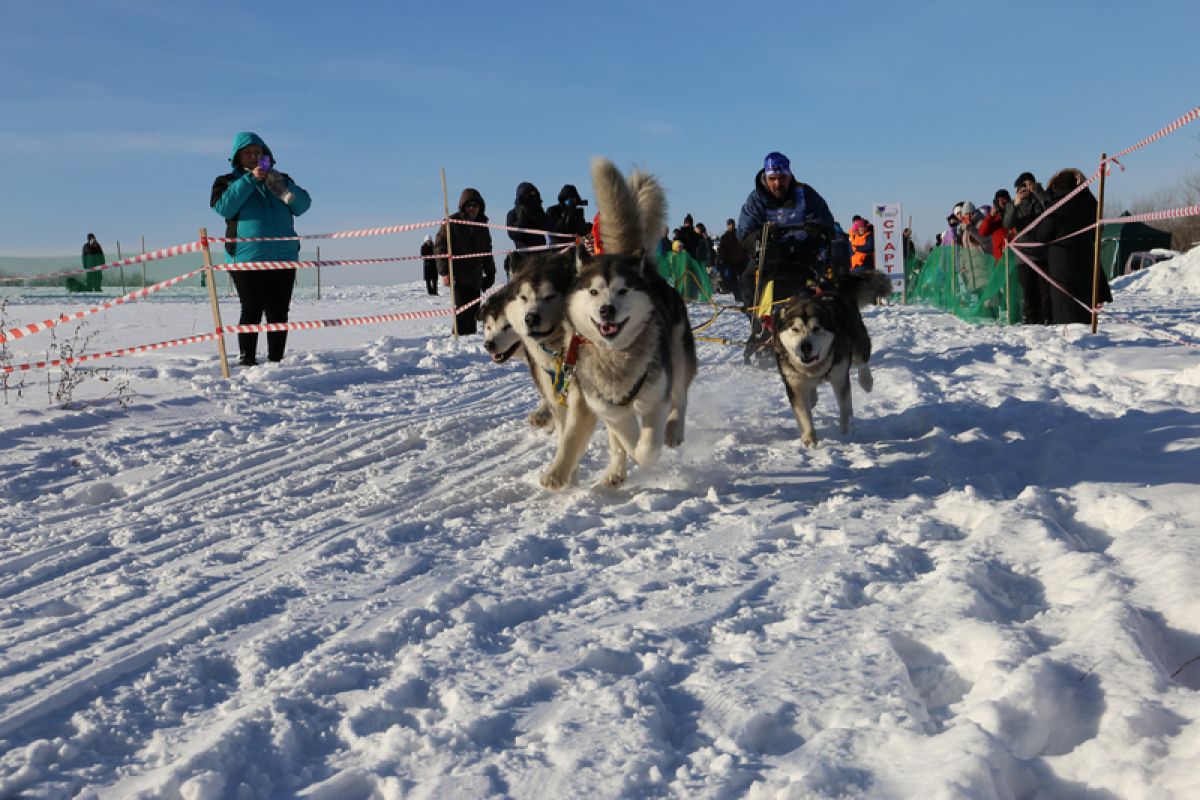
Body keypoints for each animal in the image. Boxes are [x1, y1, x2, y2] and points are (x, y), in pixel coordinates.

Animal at [542, 158, 700, 491]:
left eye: (623, 290)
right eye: (593, 291)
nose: (606, 310)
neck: (616, 358)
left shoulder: (655, 400)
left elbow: (647, 446)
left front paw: (649, 446)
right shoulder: (608, 409)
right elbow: (625, 437)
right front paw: (625, 451)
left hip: (677, 355)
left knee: (680, 395)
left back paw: (674, 430)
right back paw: (615, 470)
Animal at [768, 271, 892, 448]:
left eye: (816, 328)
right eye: (795, 329)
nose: (805, 347)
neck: (814, 367)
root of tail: (829, 283)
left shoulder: (840, 378)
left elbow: (845, 409)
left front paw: (846, 435)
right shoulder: (795, 384)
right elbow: (804, 416)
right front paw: (810, 442)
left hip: (857, 340)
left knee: (862, 361)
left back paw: (866, 381)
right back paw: (812, 397)